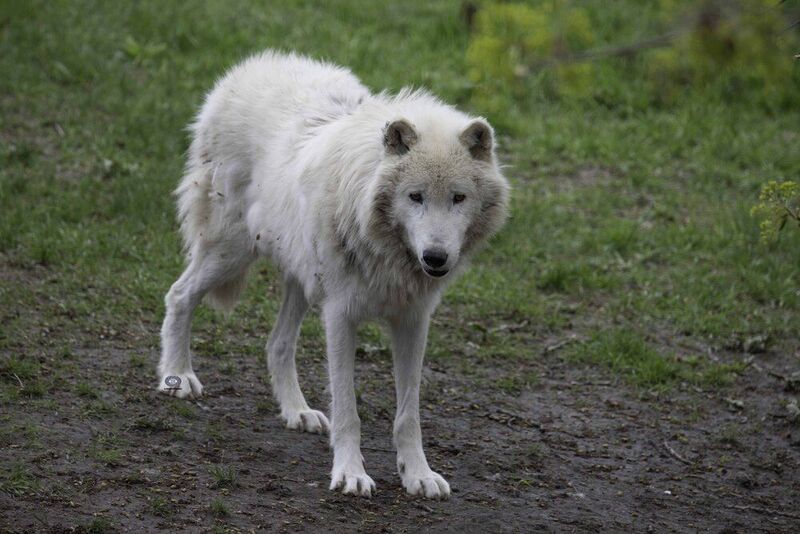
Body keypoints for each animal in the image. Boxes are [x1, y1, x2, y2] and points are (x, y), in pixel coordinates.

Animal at [157, 51, 509, 499]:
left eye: (458, 197)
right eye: (414, 196)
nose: (435, 258)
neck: (387, 249)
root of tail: (247, 68)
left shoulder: (413, 321)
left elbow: (408, 414)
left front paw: (418, 474)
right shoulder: (341, 316)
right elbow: (348, 410)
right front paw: (350, 474)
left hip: (302, 279)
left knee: (277, 343)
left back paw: (298, 411)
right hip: (230, 251)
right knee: (178, 295)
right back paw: (178, 376)